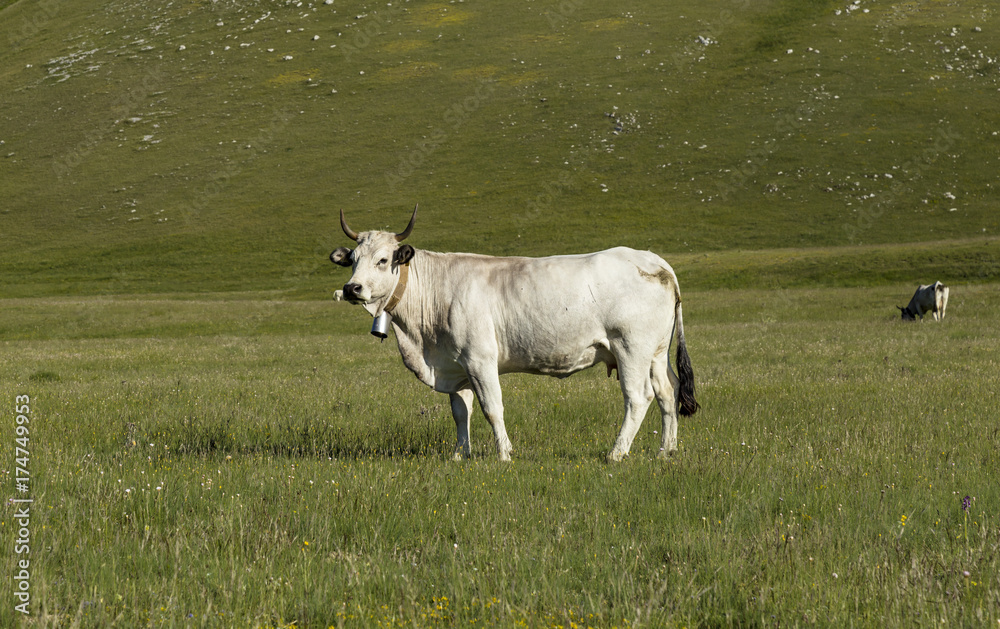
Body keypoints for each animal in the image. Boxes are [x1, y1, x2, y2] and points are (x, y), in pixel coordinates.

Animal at [330, 206, 699, 462]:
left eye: (382, 260)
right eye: (353, 259)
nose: (351, 288)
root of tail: (652, 259)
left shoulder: (480, 360)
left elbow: (492, 407)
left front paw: (504, 454)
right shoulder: (455, 365)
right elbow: (460, 411)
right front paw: (459, 455)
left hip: (631, 349)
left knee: (638, 398)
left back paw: (616, 453)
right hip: (656, 353)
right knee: (667, 393)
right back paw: (666, 451)